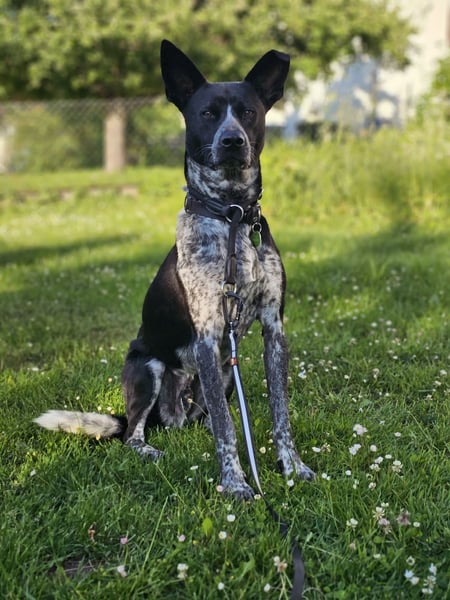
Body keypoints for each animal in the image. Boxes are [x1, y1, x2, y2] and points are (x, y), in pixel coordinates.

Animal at [35, 40, 315, 500]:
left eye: (248, 112)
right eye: (207, 114)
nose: (233, 141)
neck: (231, 214)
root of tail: (170, 416)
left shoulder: (274, 330)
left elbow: (279, 414)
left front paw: (291, 467)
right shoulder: (207, 335)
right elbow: (227, 428)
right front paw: (236, 484)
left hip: (223, 374)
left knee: (204, 419)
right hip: (148, 368)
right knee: (135, 433)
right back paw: (149, 448)